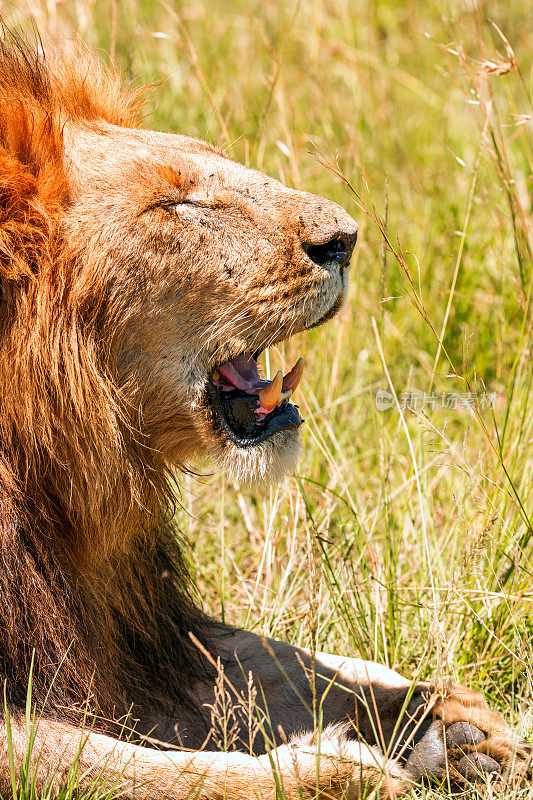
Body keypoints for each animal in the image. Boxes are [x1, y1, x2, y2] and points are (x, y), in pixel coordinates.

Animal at [0, 28, 528, 796]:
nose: (345, 239)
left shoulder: (143, 628)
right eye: (175, 206)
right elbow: (118, 763)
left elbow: (276, 660)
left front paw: (439, 720)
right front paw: (332, 773)